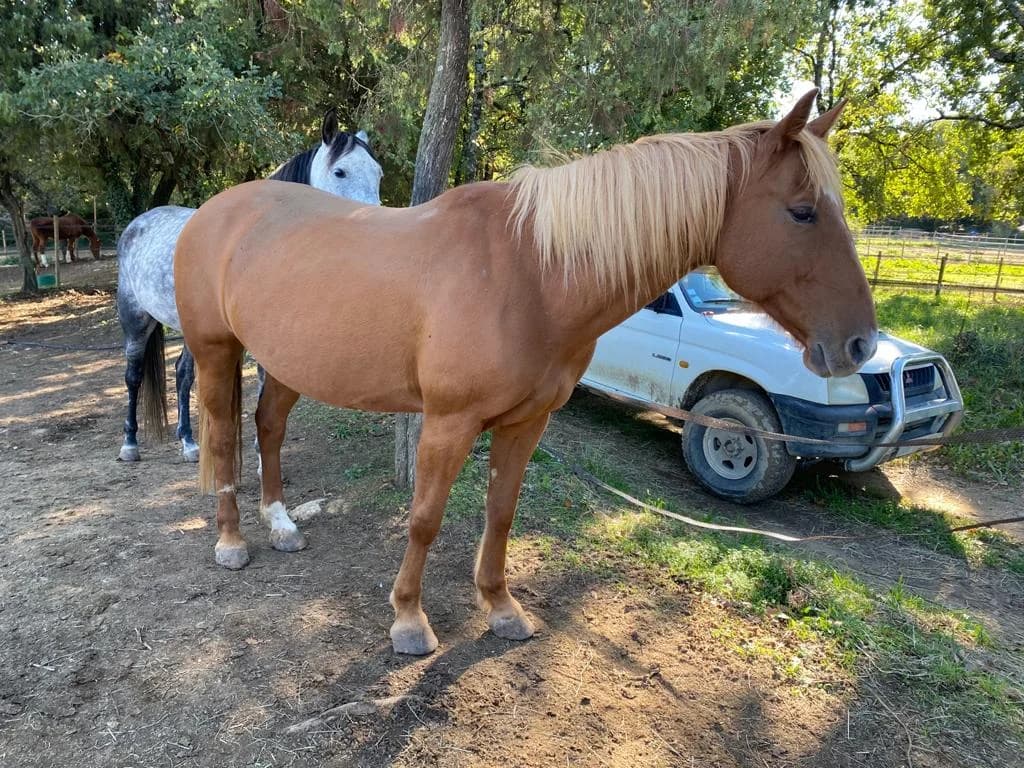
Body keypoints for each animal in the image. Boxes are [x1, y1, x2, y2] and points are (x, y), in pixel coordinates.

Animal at [115, 109, 383, 466]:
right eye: (340, 171)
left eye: (378, 173)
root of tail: (139, 223)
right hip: (135, 318)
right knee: (133, 376)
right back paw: (130, 443)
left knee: (182, 373)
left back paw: (188, 442)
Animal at [174, 90, 877, 656]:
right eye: (803, 211)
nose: (859, 345)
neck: (531, 273)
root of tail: (214, 210)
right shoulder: (449, 422)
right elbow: (425, 517)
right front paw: (409, 621)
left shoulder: (526, 423)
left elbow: (502, 512)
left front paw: (501, 608)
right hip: (216, 351)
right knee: (223, 437)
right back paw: (232, 542)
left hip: (284, 361)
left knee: (267, 426)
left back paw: (281, 524)